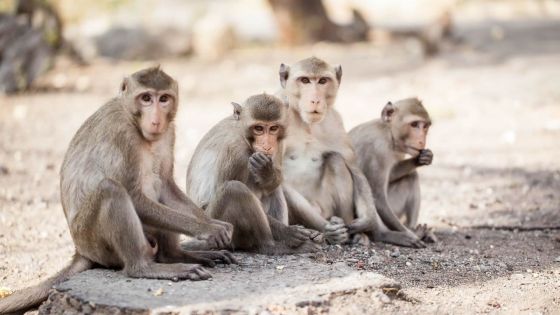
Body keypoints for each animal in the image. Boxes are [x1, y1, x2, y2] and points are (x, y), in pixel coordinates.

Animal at [0, 66, 236, 314]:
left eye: (163, 99)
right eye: (145, 98)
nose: (155, 120)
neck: (133, 119)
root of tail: (80, 251)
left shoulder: (169, 131)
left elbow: (166, 185)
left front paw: (213, 222)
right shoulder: (123, 134)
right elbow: (134, 197)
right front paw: (207, 228)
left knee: (156, 187)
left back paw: (175, 256)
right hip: (95, 242)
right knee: (110, 190)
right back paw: (144, 268)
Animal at [186, 92, 322, 256]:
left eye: (273, 128)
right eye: (258, 128)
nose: (267, 145)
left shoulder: (280, 142)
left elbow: (274, 178)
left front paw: (267, 173)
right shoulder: (235, 151)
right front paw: (288, 233)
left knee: (272, 189)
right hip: (221, 229)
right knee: (234, 189)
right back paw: (270, 246)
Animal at [276, 57, 424, 249]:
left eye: (322, 81)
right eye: (305, 80)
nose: (315, 100)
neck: (306, 123)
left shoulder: (335, 122)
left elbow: (354, 168)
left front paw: (367, 221)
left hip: (328, 208)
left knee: (336, 160)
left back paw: (356, 234)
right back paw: (331, 233)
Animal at [350, 98, 438, 242]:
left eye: (425, 126)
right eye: (414, 124)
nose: (422, 141)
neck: (388, 133)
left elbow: (392, 174)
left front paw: (422, 159)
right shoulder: (377, 150)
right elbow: (378, 198)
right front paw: (411, 236)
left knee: (411, 177)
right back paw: (388, 234)